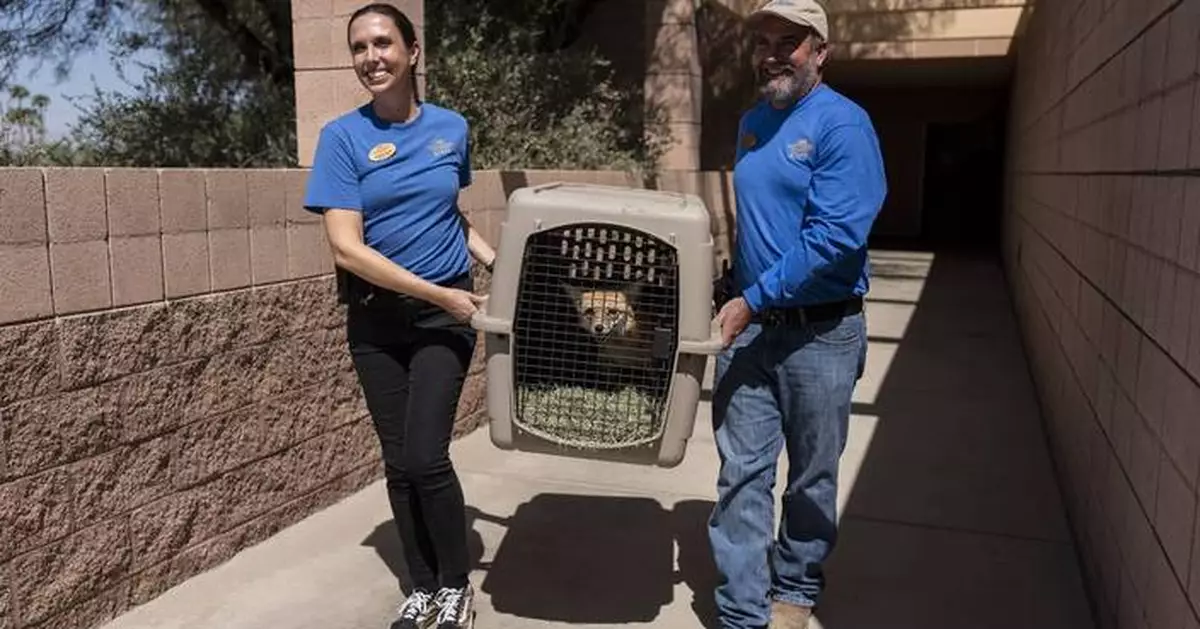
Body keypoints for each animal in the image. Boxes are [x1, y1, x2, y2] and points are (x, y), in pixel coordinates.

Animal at [470, 181, 720, 465]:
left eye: (612, 312)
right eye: (590, 312)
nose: (599, 328)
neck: (622, 349)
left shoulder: (647, 371)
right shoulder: (607, 369)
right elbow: (609, 389)